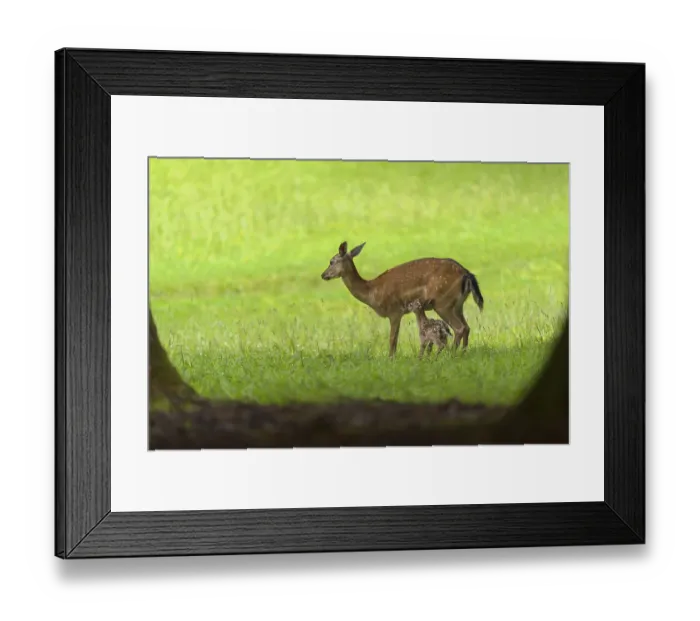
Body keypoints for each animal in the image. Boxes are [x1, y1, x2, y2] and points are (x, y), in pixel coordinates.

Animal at [320, 241, 484, 358]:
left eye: (331, 261)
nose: (323, 275)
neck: (372, 291)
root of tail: (467, 274)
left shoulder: (394, 311)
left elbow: (393, 339)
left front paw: (390, 359)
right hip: (457, 304)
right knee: (467, 327)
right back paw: (462, 353)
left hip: (443, 302)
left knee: (459, 328)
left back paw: (451, 354)